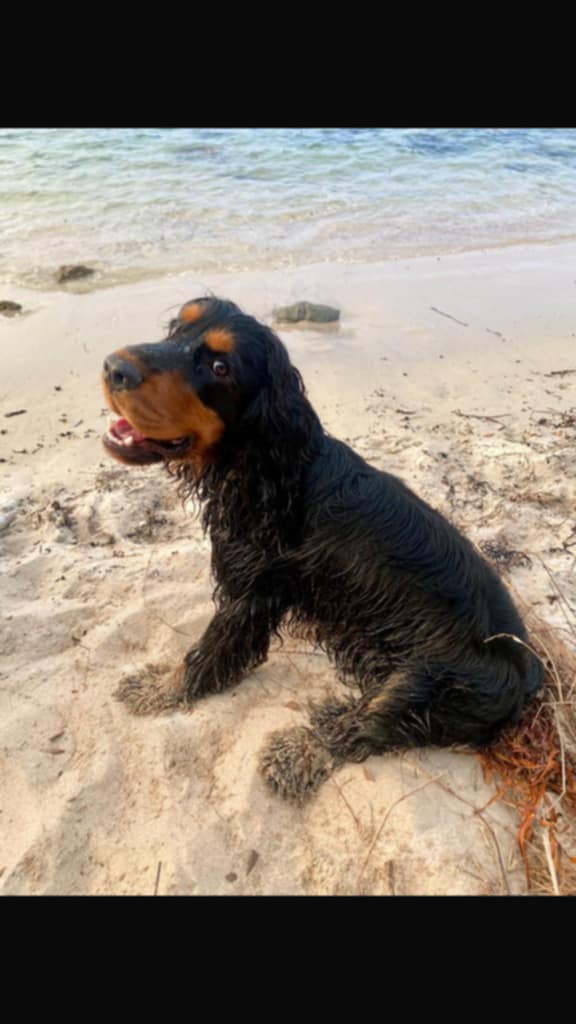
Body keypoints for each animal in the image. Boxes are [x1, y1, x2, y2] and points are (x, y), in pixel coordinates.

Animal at [102, 296, 543, 800]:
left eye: (219, 367)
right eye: (177, 326)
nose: (113, 368)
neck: (274, 471)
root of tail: (531, 676)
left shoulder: (251, 592)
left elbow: (204, 654)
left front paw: (159, 690)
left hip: (429, 678)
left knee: (369, 723)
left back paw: (299, 751)